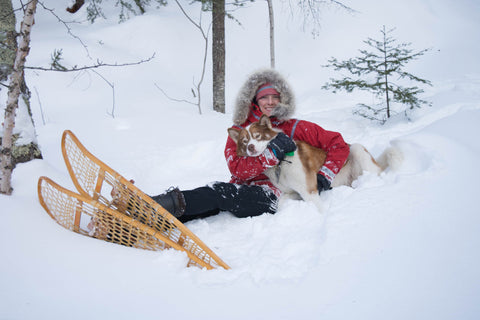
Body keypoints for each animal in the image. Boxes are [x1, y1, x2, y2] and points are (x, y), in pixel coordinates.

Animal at [229, 115, 402, 210]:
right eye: (244, 141)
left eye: (257, 136)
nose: (250, 147)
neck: (280, 163)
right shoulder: (292, 192)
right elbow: (280, 203)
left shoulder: (310, 191)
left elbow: (318, 210)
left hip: (357, 149)